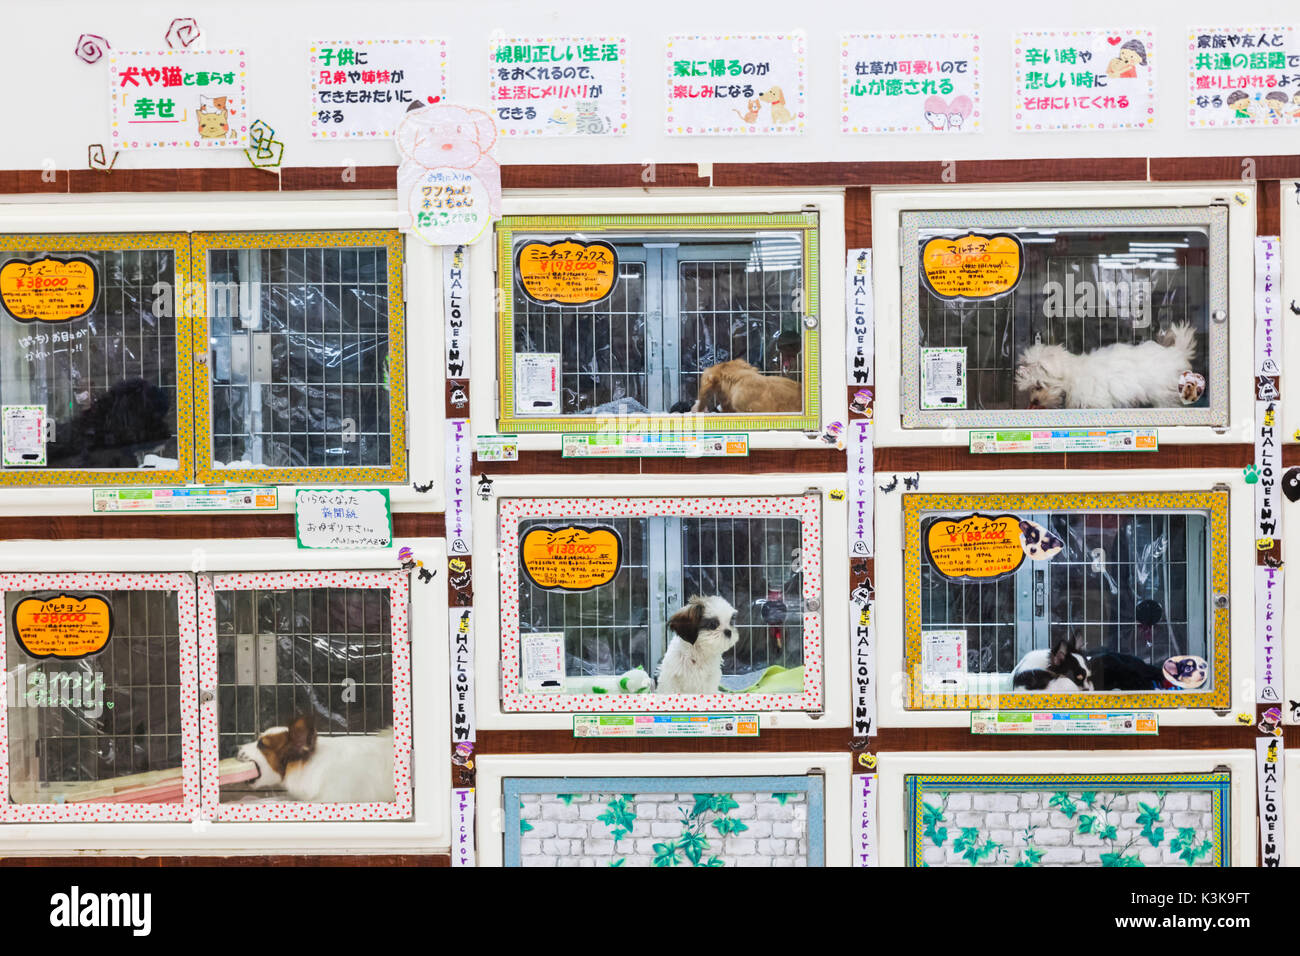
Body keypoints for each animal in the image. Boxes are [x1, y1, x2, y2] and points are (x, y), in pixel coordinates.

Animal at [1013, 323, 1196, 408]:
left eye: (1039, 385)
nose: (1034, 401)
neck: (1072, 375)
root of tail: (1176, 353)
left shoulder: (1096, 400)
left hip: (1162, 391)